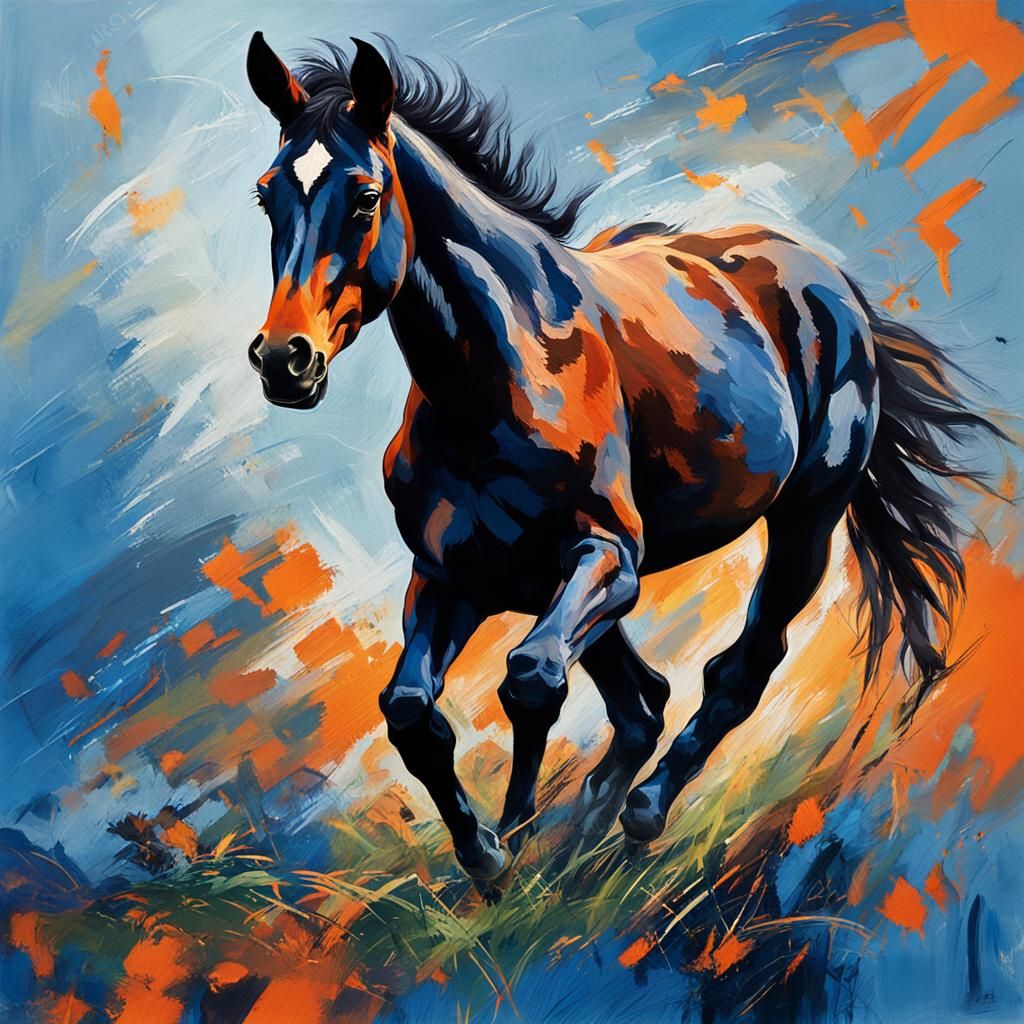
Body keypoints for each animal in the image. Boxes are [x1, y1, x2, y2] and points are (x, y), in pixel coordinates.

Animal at [244, 33, 1000, 882]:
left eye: (367, 196)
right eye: (266, 196)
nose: (284, 360)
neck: (501, 375)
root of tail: (828, 282)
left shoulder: (608, 557)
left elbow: (532, 680)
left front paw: (513, 838)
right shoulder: (451, 575)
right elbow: (412, 712)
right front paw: (488, 853)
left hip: (804, 521)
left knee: (738, 670)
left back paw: (636, 815)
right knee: (643, 701)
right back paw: (584, 839)